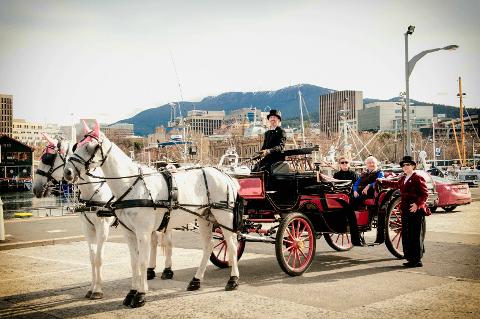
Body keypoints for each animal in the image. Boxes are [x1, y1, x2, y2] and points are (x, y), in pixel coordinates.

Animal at [32, 134, 169, 302]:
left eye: (48, 158)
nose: (35, 189)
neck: (94, 188)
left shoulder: (102, 227)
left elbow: (99, 258)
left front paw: (97, 290)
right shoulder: (87, 227)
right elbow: (92, 259)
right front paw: (91, 288)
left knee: (167, 242)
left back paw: (167, 270)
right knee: (154, 241)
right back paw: (150, 270)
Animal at [64, 121, 240, 308]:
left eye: (90, 147)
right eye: (76, 146)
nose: (67, 172)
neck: (131, 184)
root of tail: (224, 174)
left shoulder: (141, 232)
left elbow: (142, 262)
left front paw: (140, 295)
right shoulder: (128, 233)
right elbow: (134, 263)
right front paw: (131, 292)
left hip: (223, 216)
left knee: (232, 245)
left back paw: (233, 280)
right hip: (204, 217)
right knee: (208, 247)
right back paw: (196, 280)